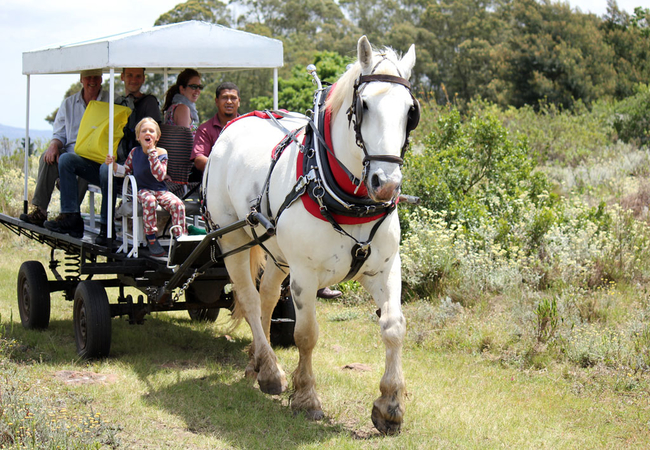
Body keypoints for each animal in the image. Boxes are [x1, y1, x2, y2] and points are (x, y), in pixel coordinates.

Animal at [201, 35, 416, 432]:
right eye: (364, 105)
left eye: (410, 111)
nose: (386, 184)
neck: (348, 198)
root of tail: (236, 122)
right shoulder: (305, 273)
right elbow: (306, 334)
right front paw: (306, 398)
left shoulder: (385, 266)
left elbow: (394, 326)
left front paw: (390, 405)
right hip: (232, 239)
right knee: (250, 300)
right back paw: (271, 372)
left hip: (276, 253)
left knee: (267, 298)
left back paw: (259, 361)